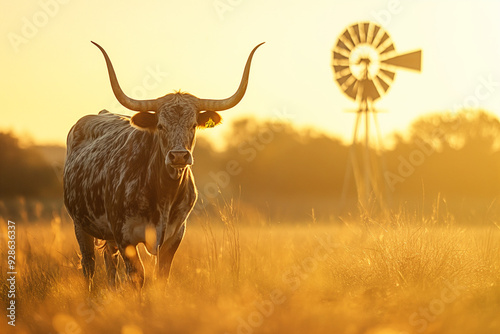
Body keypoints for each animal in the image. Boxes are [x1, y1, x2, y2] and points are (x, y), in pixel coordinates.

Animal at [64, 41, 264, 288]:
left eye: (193, 125)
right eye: (160, 125)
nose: (178, 156)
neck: (163, 194)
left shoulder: (174, 236)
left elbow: (162, 276)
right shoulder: (124, 235)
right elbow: (137, 276)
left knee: (110, 265)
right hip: (80, 225)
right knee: (89, 265)